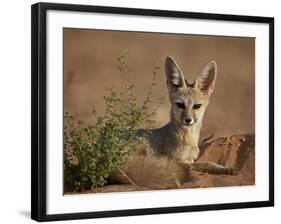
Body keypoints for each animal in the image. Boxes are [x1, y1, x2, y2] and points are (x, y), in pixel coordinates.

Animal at [110, 57, 233, 190]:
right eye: (180, 105)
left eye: (197, 106)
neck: (188, 139)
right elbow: (201, 164)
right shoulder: (177, 160)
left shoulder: (190, 158)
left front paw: (223, 168)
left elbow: (204, 162)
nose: (188, 120)